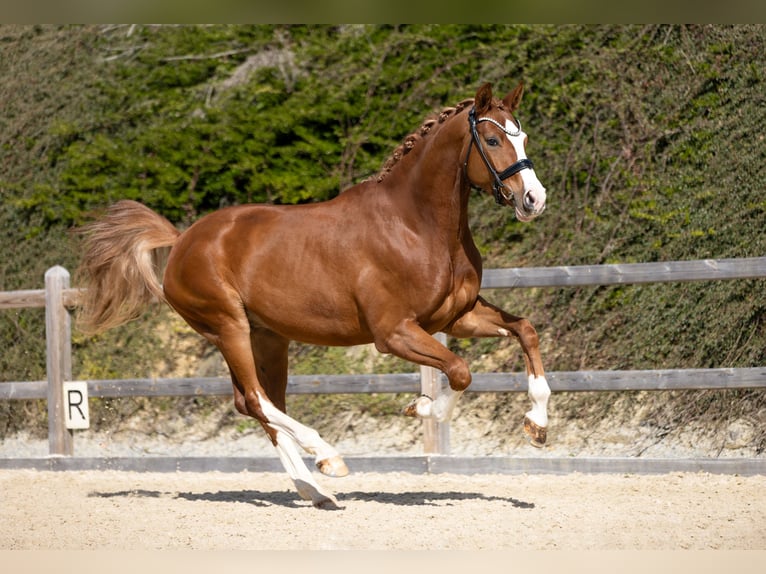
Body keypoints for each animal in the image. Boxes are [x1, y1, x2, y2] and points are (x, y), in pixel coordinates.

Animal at [76, 82, 549, 509]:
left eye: (524, 137)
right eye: (493, 139)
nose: (534, 199)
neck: (416, 225)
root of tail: (181, 241)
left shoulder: (457, 317)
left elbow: (524, 331)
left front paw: (537, 425)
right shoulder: (394, 333)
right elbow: (460, 371)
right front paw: (420, 408)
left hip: (269, 338)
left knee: (258, 404)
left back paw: (315, 491)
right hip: (228, 328)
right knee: (256, 400)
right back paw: (329, 460)